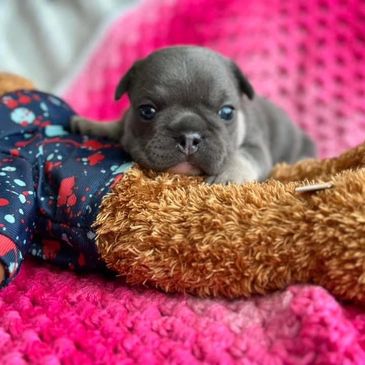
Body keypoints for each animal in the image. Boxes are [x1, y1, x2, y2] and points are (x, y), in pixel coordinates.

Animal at [72, 46, 316, 182]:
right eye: (147, 111)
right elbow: (121, 123)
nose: (189, 137)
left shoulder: (256, 146)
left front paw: (229, 175)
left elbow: (242, 157)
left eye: (226, 112)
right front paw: (93, 124)